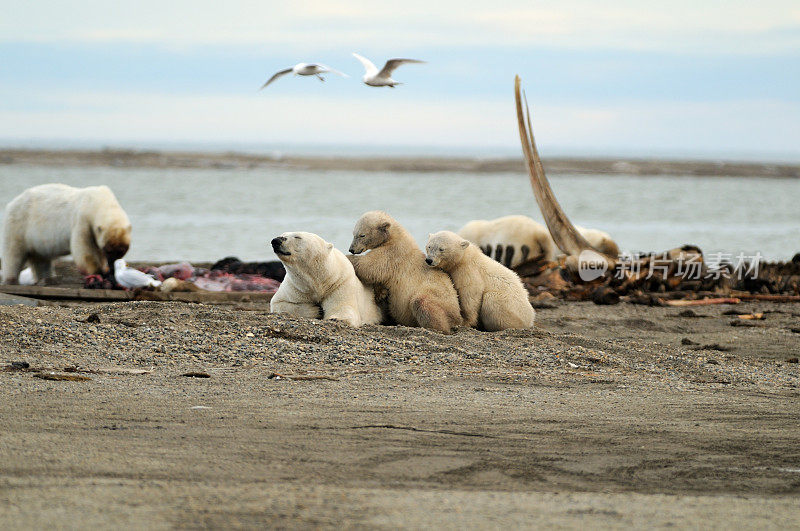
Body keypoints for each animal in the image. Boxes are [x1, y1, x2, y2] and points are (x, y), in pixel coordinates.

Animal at [3, 183, 131, 284]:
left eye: (121, 251)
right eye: (108, 250)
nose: (112, 267)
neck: (98, 201)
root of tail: (12, 203)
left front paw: (105, 271)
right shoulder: (82, 220)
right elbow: (84, 249)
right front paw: (98, 272)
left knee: (41, 259)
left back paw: (47, 278)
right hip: (19, 224)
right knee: (14, 253)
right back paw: (11, 279)